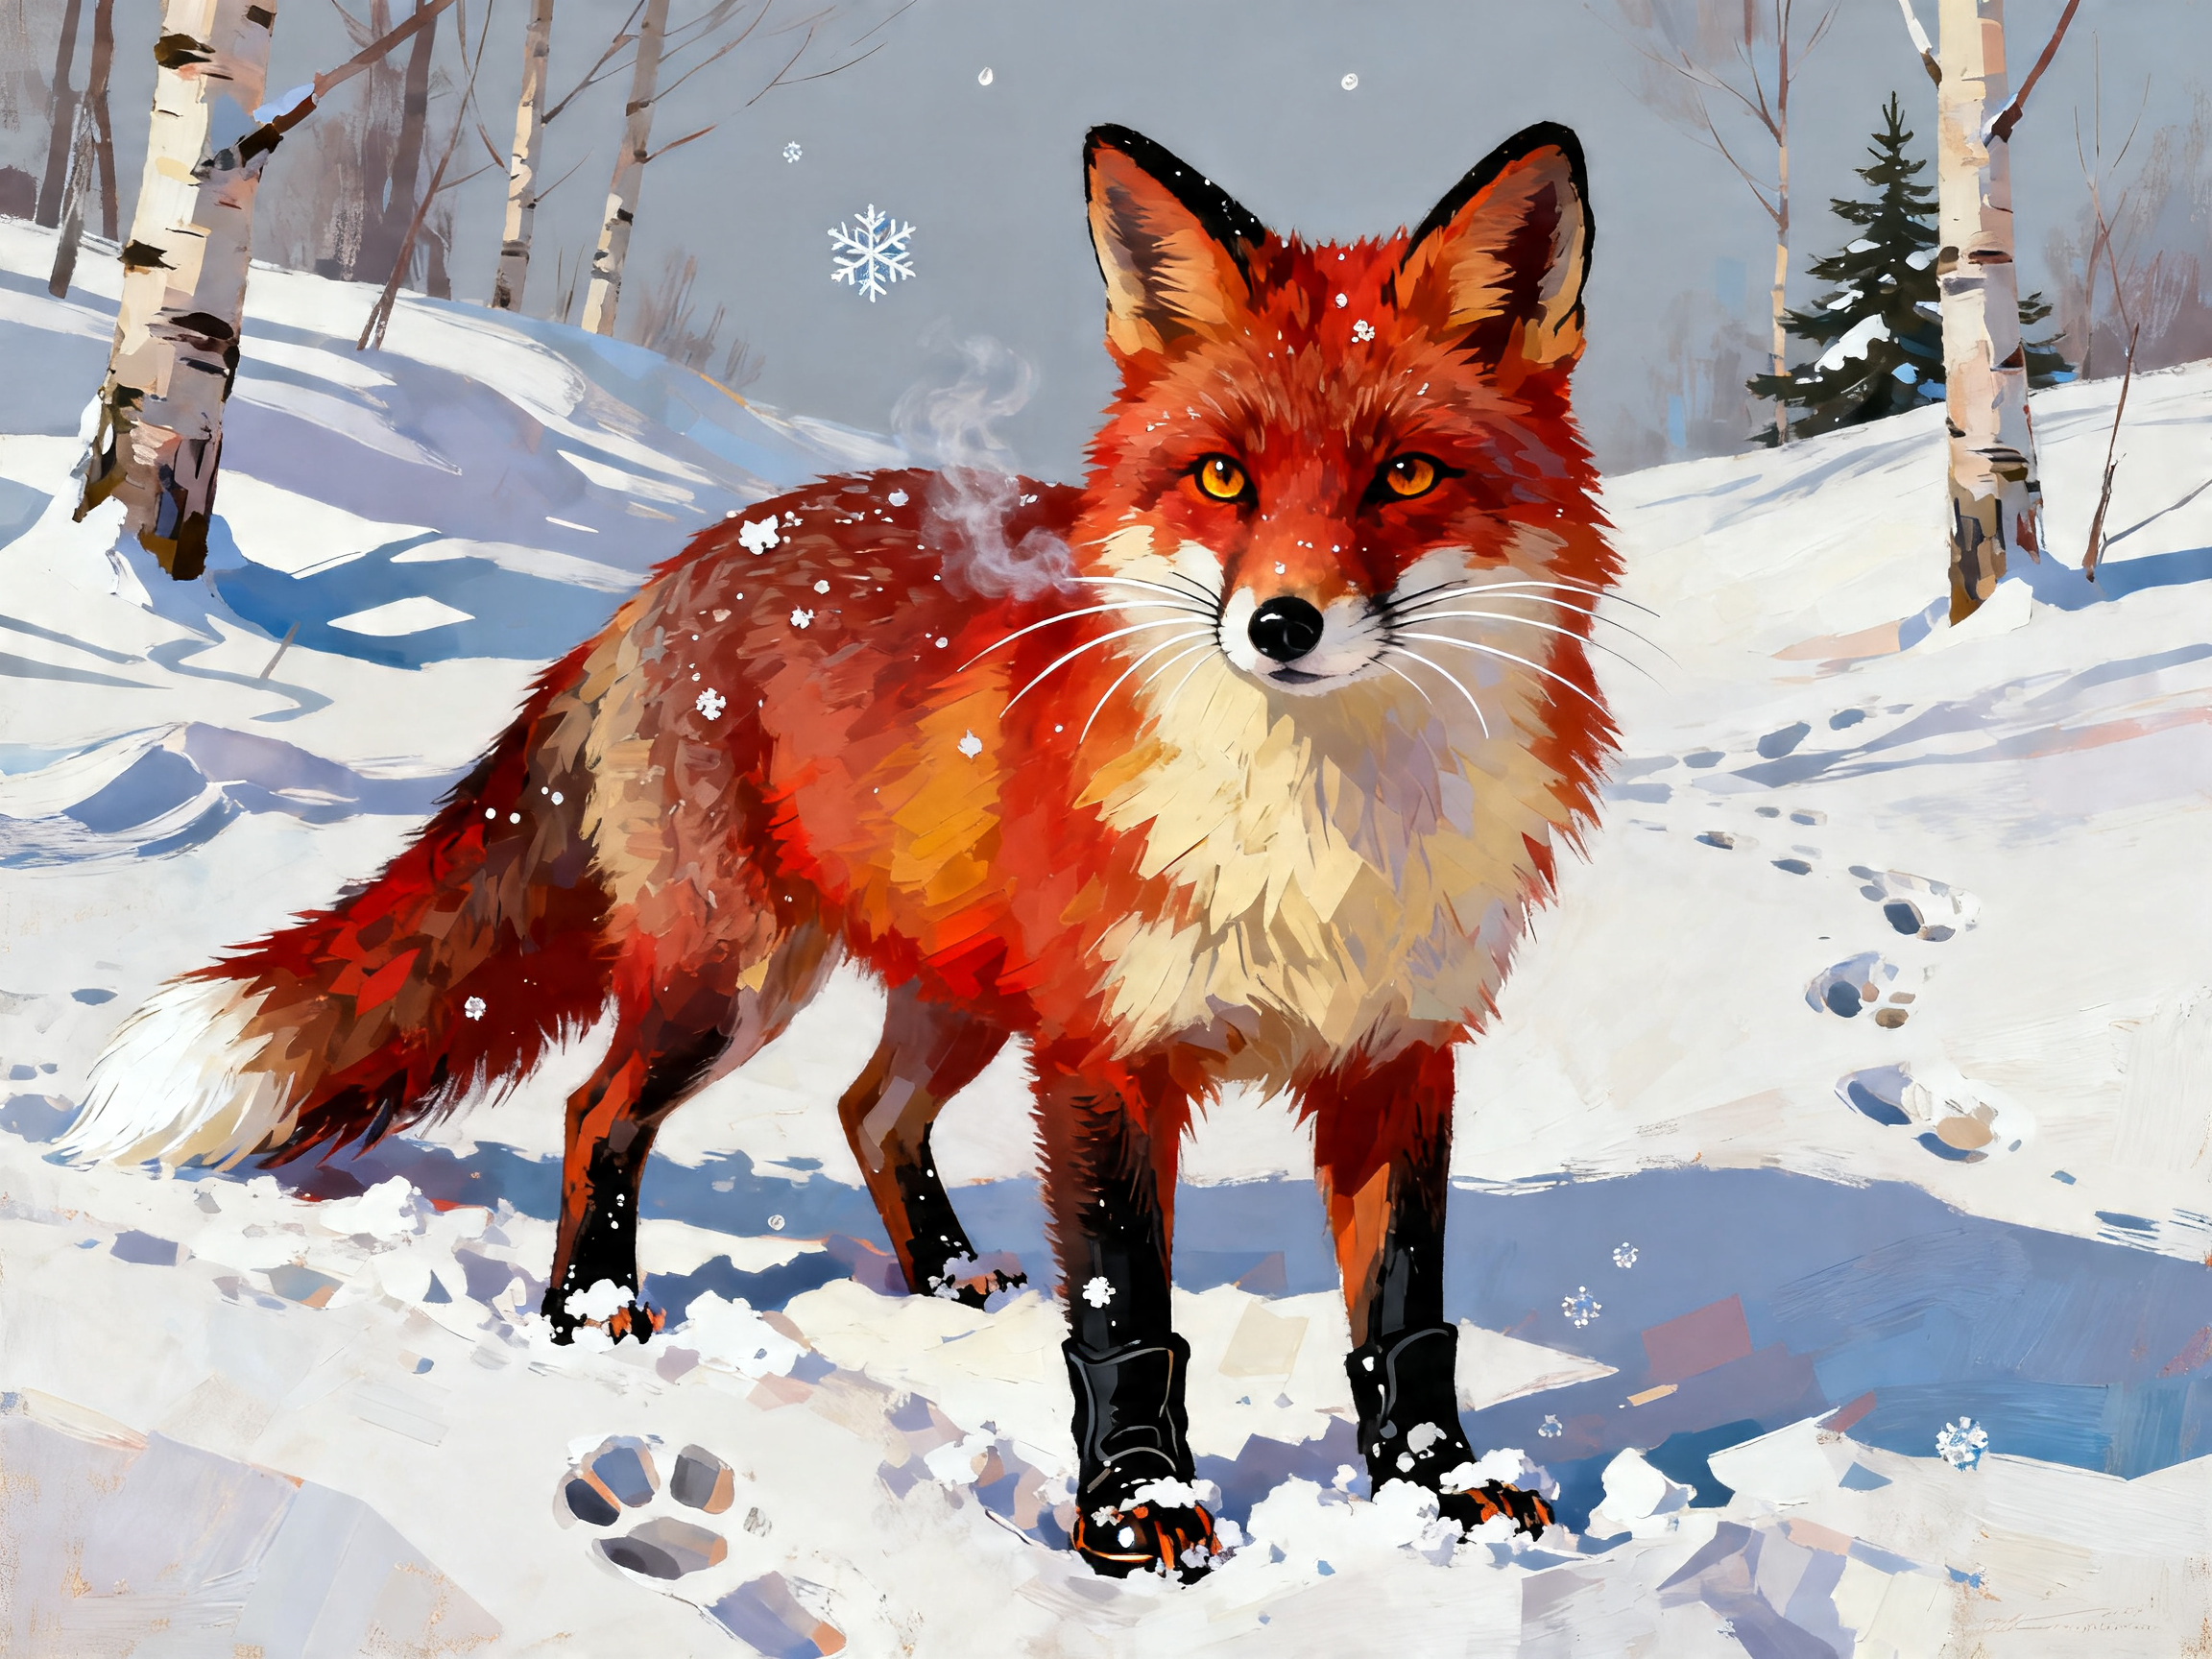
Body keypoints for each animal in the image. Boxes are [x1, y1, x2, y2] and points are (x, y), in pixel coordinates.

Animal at [63, 121, 1615, 1579]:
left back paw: (947, 1281)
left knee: (869, 1114)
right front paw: (1139, 1514)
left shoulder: (1396, 1052)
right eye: (1223, 478)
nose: (1281, 625)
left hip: (957, 999)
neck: (1324, 826)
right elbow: (1128, 1314)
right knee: (596, 1112)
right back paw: (591, 1313)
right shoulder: (1106, 1052)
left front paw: (1440, 1491)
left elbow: (1405, 1317)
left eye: (1405, 473)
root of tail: (667, 575)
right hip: (736, 980)